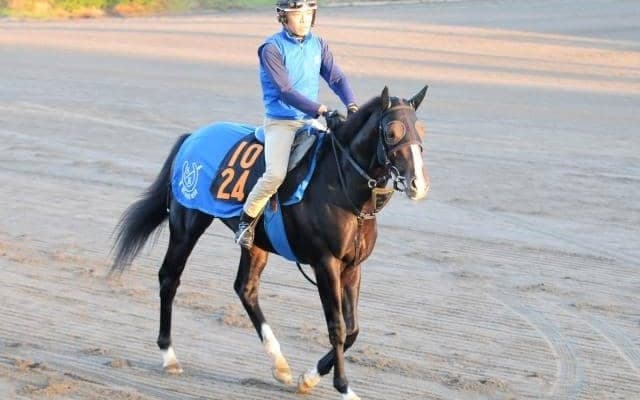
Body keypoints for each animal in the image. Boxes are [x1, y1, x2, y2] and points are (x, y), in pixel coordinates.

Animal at [111, 85, 429, 400]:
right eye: (391, 132)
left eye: (421, 130)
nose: (418, 184)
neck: (342, 188)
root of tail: (191, 137)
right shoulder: (325, 263)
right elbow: (337, 327)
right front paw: (344, 387)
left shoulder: (352, 266)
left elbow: (353, 330)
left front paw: (308, 378)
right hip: (187, 224)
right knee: (169, 278)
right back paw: (169, 356)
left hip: (256, 244)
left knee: (246, 289)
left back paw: (280, 365)